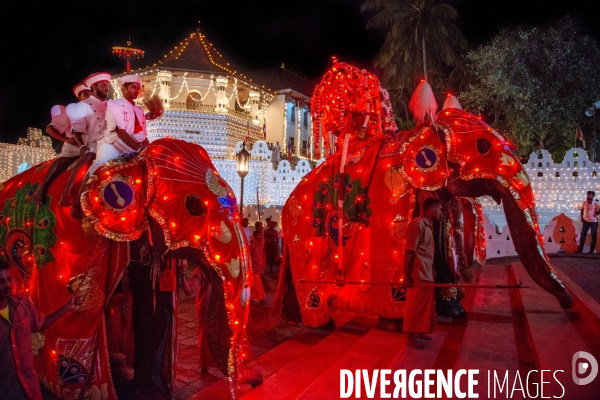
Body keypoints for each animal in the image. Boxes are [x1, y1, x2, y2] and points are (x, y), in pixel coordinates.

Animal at [0, 138, 258, 400]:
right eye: (195, 206)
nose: (255, 381)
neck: (134, 160)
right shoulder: (69, 246)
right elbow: (80, 312)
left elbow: (153, 314)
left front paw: (148, 391)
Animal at [274, 61, 572, 326]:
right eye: (484, 145)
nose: (567, 305)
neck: (418, 134)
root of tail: (288, 201)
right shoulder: (391, 200)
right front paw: (398, 315)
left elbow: (440, 240)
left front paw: (452, 307)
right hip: (305, 228)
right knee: (306, 269)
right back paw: (320, 321)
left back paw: (292, 318)